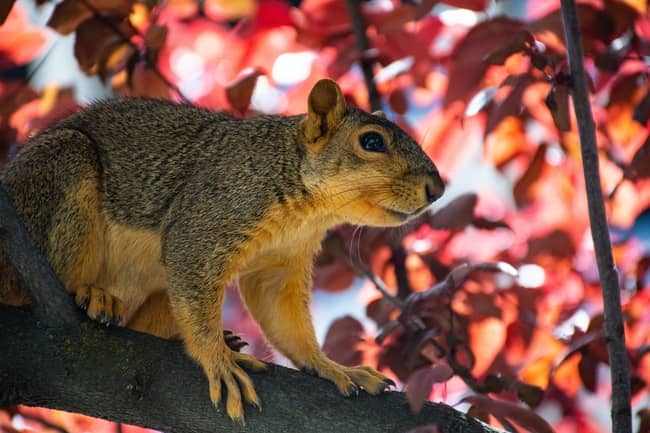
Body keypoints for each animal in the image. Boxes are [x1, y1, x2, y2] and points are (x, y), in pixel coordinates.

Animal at [0, 79, 444, 421]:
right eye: (371, 141)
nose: (437, 189)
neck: (307, 211)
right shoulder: (209, 216)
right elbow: (192, 264)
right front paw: (218, 360)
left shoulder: (281, 262)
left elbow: (283, 318)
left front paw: (333, 367)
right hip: (59, 171)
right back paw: (93, 295)